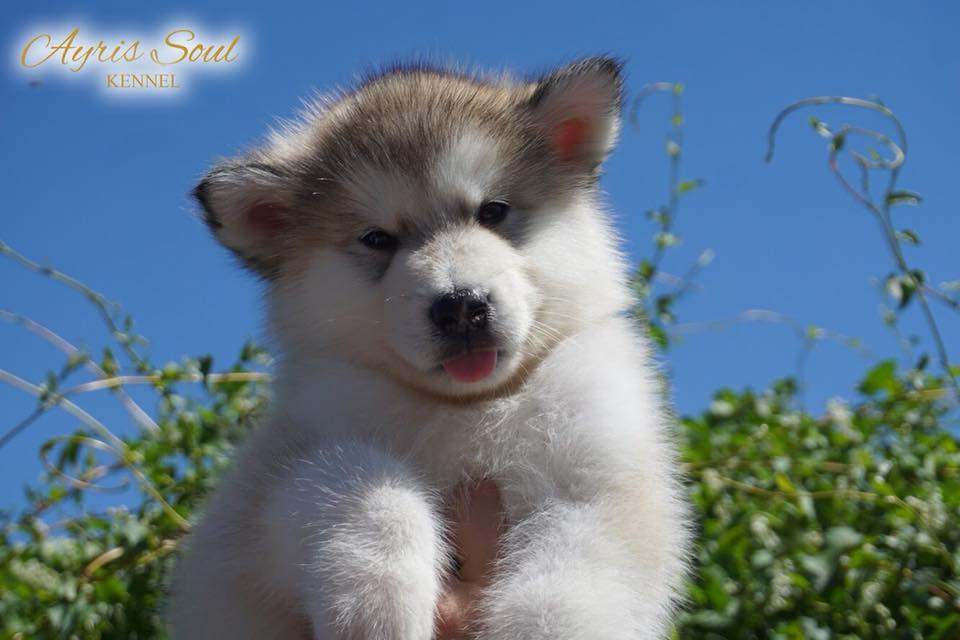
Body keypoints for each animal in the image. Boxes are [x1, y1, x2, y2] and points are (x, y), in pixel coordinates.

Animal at [169, 58, 688, 640]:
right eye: (377, 239)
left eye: (493, 211)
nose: (460, 307)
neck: (468, 410)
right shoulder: (264, 491)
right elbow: (351, 478)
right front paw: (377, 597)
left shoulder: (597, 481)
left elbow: (566, 591)